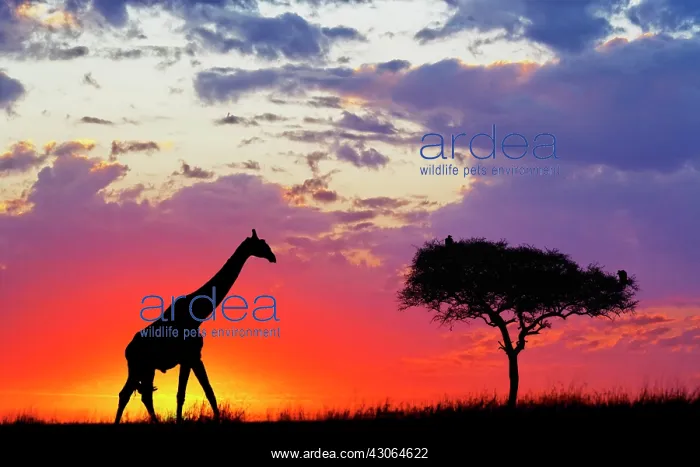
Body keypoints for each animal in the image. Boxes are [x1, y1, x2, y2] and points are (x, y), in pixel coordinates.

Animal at [114, 229, 277, 424]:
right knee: (127, 394)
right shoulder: (191, 356)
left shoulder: (192, 357)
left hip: (147, 368)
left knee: (143, 395)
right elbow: (188, 394)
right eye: (262, 244)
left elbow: (202, 392)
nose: (273, 257)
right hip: (138, 366)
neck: (198, 314)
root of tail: (127, 350)